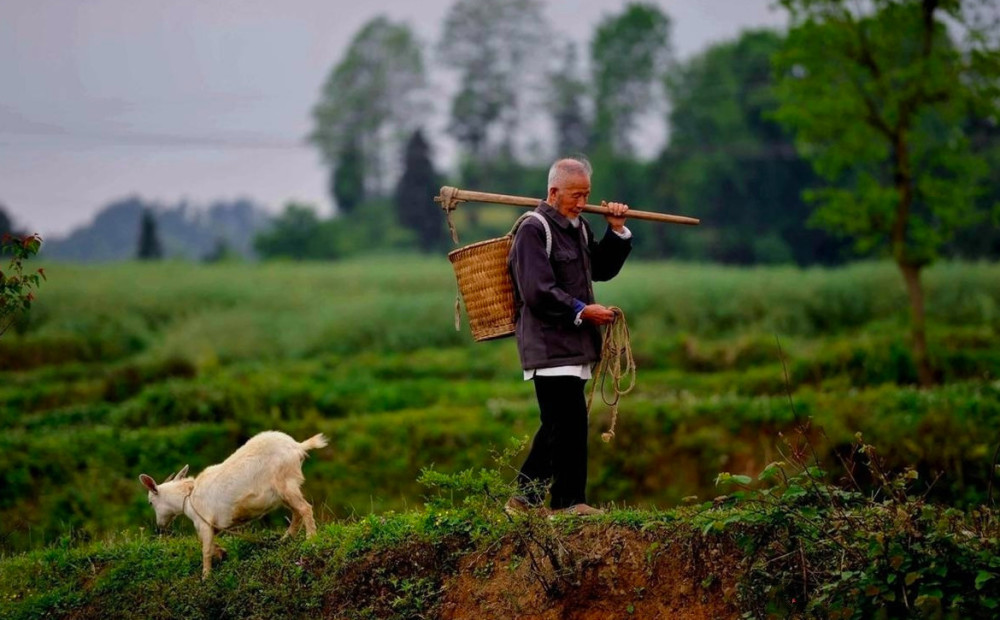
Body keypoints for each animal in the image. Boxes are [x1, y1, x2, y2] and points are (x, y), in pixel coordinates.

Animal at [139, 432, 328, 576]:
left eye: (150, 502)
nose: (160, 526)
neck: (189, 496)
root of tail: (298, 446)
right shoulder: (211, 526)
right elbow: (209, 544)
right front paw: (222, 553)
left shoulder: (204, 523)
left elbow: (205, 550)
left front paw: (206, 577)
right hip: (285, 491)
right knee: (297, 512)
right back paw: (285, 539)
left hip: (285, 484)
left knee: (304, 508)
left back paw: (311, 539)